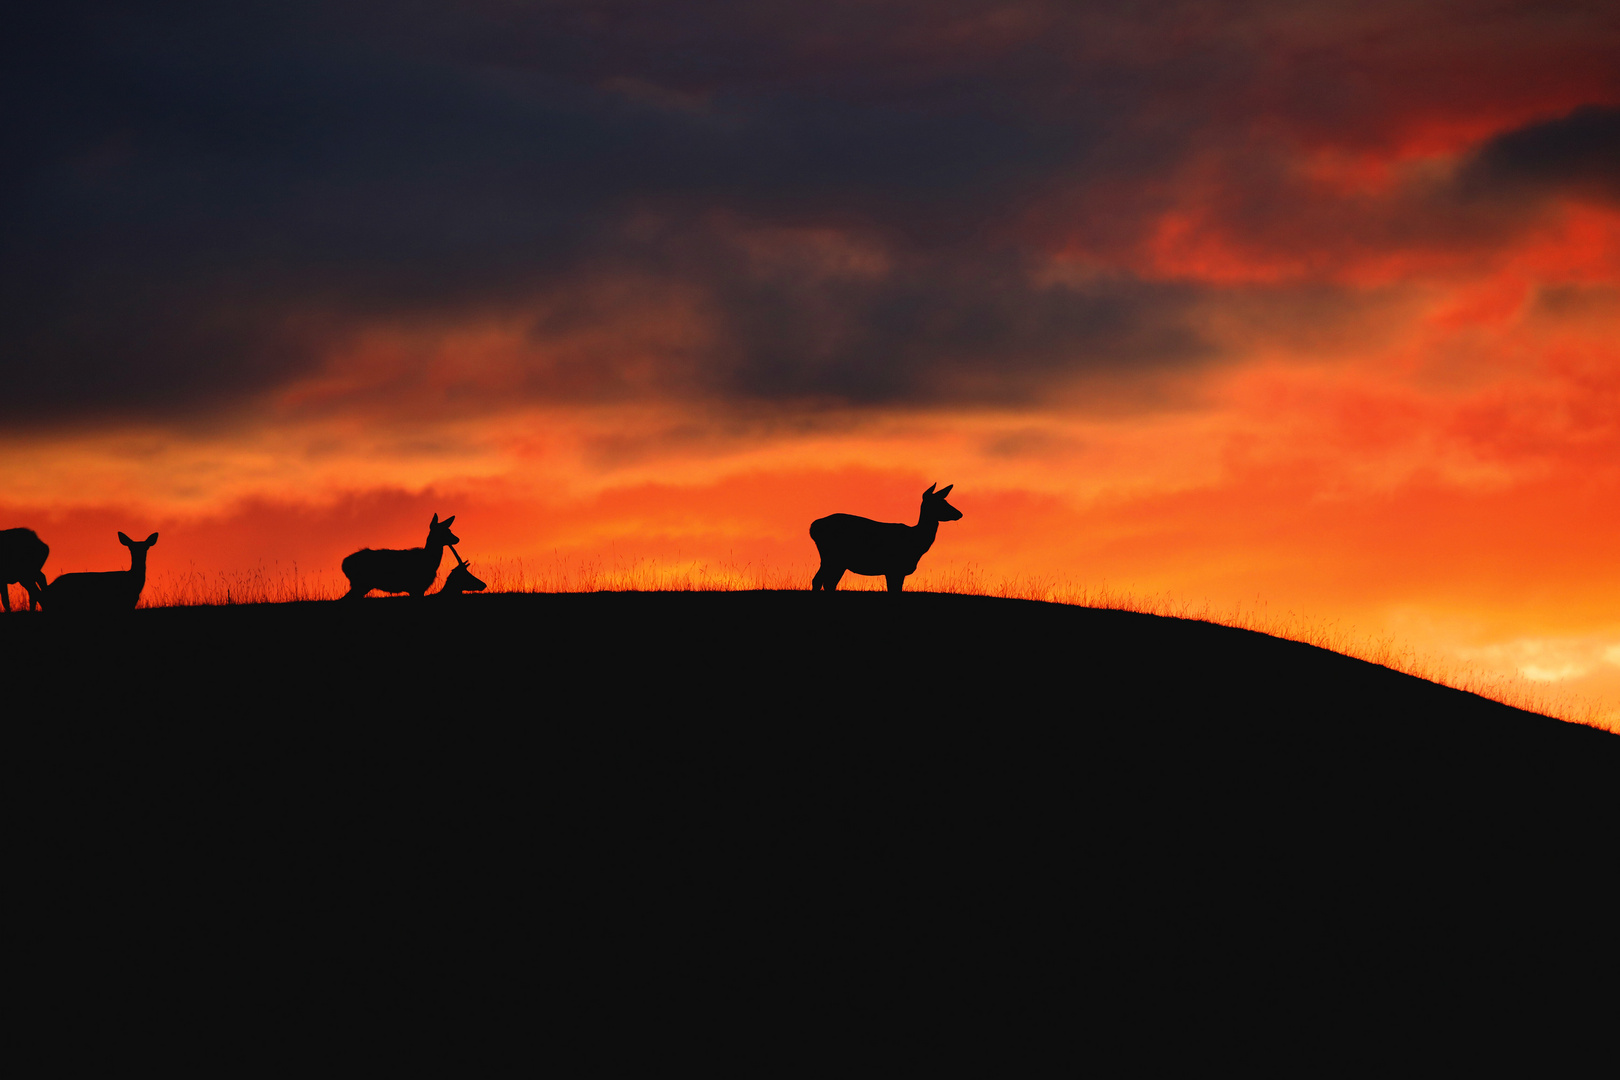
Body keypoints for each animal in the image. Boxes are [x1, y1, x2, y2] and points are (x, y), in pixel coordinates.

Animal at [810, 485, 959, 595]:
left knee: (827, 582)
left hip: (837, 561)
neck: (915, 541)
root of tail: (813, 527)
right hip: (832, 557)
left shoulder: (896, 570)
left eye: (945, 501)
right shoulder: (894, 568)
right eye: (940, 503)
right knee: (820, 580)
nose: (959, 513)